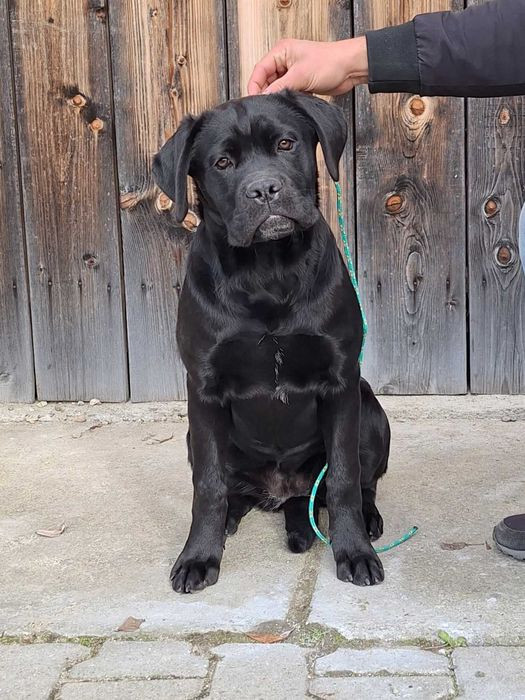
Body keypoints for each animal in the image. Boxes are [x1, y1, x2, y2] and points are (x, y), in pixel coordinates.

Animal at [152, 90, 388, 592]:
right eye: (222, 162)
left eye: (285, 143)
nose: (264, 190)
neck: (267, 272)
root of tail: (284, 494)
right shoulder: (203, 389)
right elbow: (208, 485)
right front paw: (198, 555)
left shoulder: (342, 380)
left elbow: (343, 477)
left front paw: (355, 551)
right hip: (195, 434)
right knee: (232, 488)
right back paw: (231, 519)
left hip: (370, 409)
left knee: (358, 483)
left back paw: (367, 519)